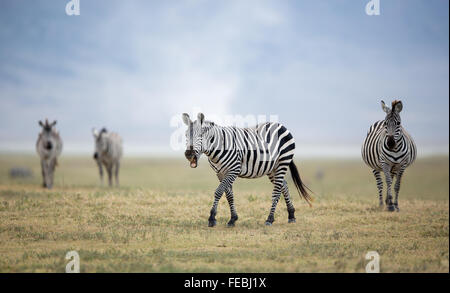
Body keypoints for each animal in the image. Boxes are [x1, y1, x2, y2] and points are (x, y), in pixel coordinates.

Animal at [181, 112, 312, 226]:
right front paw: (233, 219)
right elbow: (229, 195)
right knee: (283, 185)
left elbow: (218, 191)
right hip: (272, 168)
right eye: (186, 135)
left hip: (283, 162)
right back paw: (291, 215)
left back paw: (270, 219)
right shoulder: (220, 173)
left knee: (276, 191)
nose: (188, 154)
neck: (218, 148)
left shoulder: (233, 170)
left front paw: (212, 218)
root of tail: (281, 125)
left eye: (200, 136)